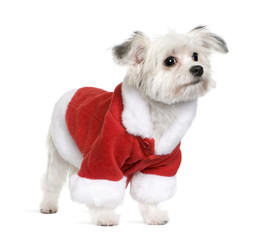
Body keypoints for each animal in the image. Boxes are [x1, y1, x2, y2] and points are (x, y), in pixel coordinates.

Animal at [39, 26, 228, 225]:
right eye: (169, 61)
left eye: (195, 56)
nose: (198, 69)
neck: (159, 112)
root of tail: (72, 92)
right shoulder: (103, 157)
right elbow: (102, 184)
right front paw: (105, 215)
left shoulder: (161, 164)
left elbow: (150, 192)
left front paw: (153, 215)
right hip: (59, 152)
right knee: (52, 182)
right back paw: (48, 204)